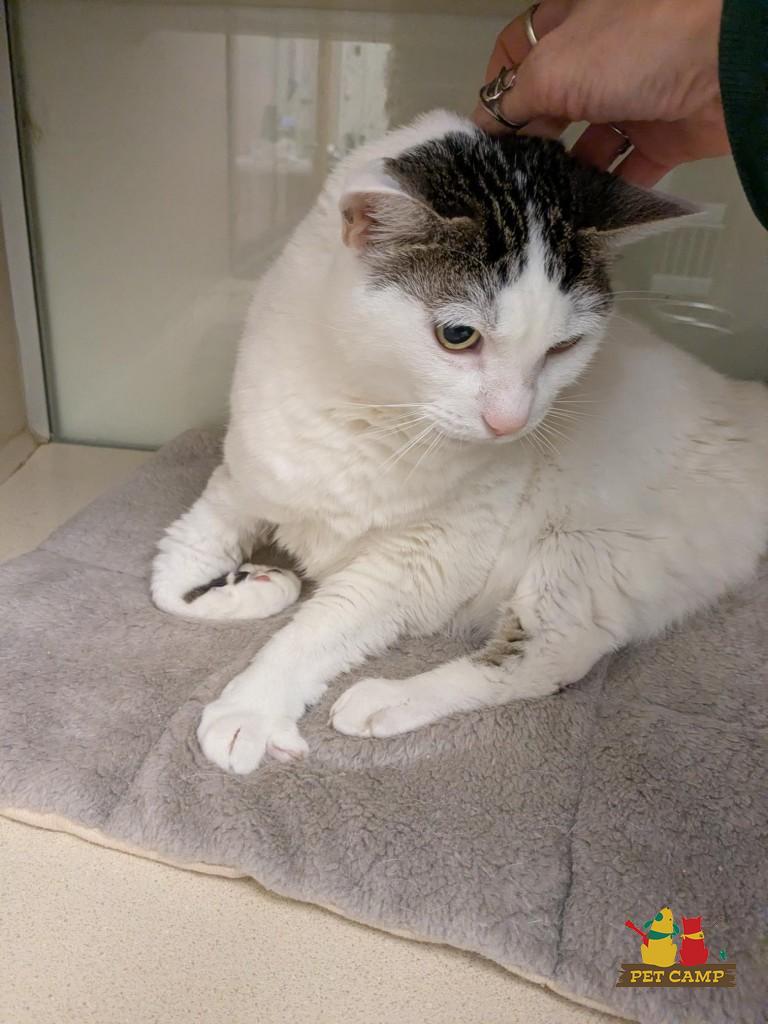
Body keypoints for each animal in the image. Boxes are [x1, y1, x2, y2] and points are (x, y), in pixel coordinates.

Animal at [151, 110, 768, 774]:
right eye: (457, 335)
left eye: (563, 347)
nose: (511, 422)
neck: (364, 411)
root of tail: (746, 402)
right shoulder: (242, 480)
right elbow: (169, 580)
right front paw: (260, 585)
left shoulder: (419, 563)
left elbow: (317, 629)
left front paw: (251, 706)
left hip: (587, 554)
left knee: (547, 658)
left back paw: (387, 700)